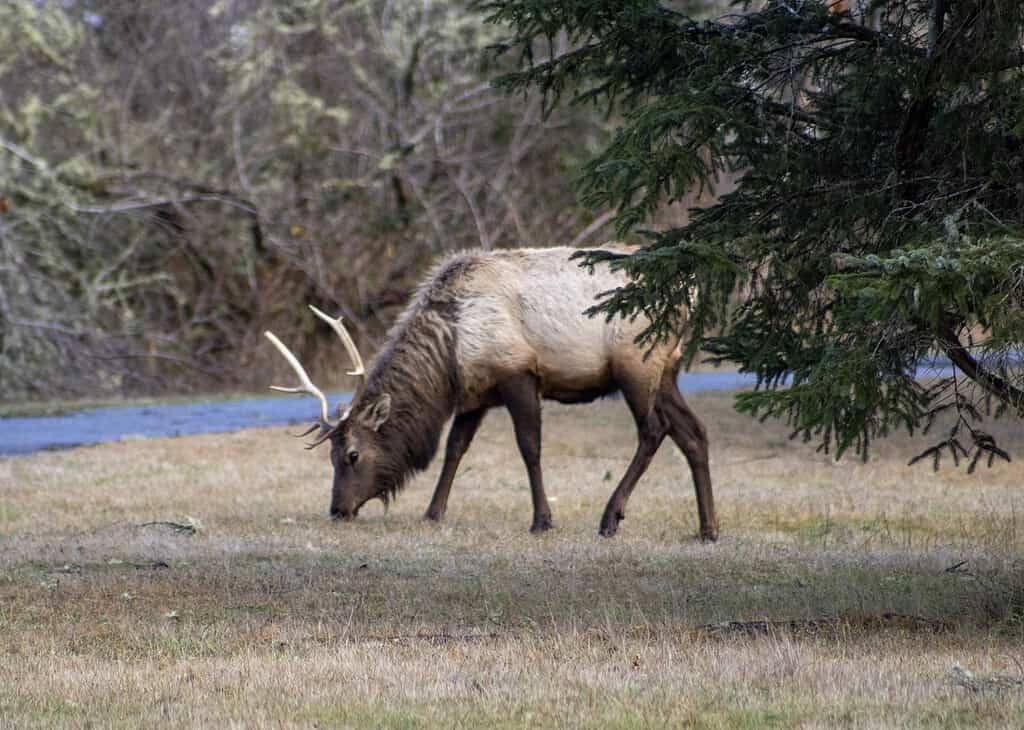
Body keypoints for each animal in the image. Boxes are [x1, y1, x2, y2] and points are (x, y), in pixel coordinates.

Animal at [268, 247, 724, 536]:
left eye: (352, 454)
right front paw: (433, 513)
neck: (448, 353)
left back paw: (610, 517)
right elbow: (454, 449)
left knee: (654, 430)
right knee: (694, 432)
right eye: (330, 454)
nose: (337, 509)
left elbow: (529, 447)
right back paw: (708, 527)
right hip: (667, 370)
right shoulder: (476, 393)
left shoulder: (517, 373)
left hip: (636, 362)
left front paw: (542, 520)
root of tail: (691, 289)